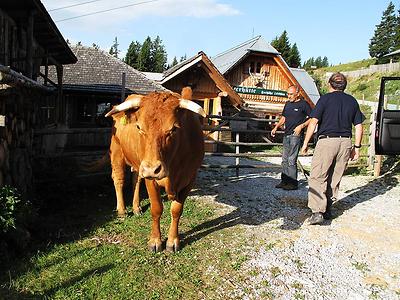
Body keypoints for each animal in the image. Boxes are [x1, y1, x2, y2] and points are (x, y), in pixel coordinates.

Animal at [104, 88, 205, 252]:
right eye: (139, 127)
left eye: (173, 128)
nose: (152, 169)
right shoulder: (151, 180)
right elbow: (156, 209)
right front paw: (155, 241)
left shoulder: (190, 179)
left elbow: (177, 210)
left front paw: (172, 241)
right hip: (117, 153)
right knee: (119, 180)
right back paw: (122, 211)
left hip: (139, 165)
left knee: (136, 180)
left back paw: (136, 207)